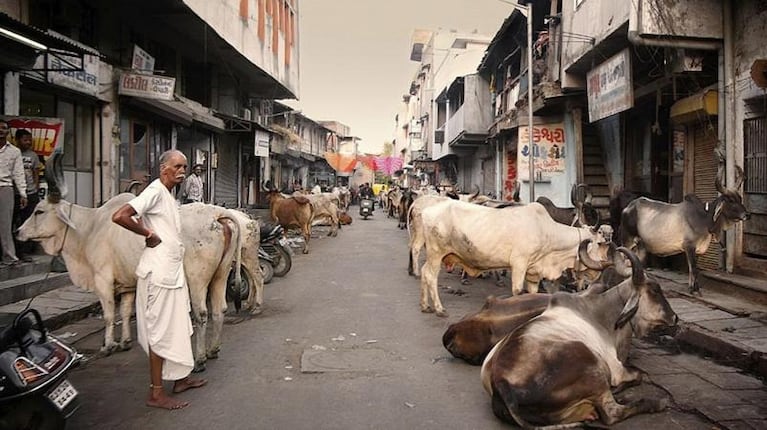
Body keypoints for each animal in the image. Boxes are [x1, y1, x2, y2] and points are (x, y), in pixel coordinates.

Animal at [16, 193, 244, 372]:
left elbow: (109, 315)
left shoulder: (102, 280)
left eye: (39, 211)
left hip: (197, 279)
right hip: (220, 275)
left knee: (202, 314)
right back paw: (213, 350)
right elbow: (125, 312)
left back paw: (199, 360)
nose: (18, 232)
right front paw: (125, 342)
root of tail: (217, 214)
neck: (90, 229)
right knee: (219, 310)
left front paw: (108, 346)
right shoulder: (128, 284)